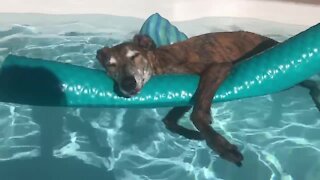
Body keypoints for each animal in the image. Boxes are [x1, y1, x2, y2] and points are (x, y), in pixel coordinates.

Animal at [95, 31, 320, 167]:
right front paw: (195, 135)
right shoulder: (186, 96)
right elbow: (169, 120)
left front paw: (220, 145)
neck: (161, 62)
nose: (128, 84)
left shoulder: (217, 68)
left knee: (310, 82)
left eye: (134, 56)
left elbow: (198, 113)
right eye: (111, 65)